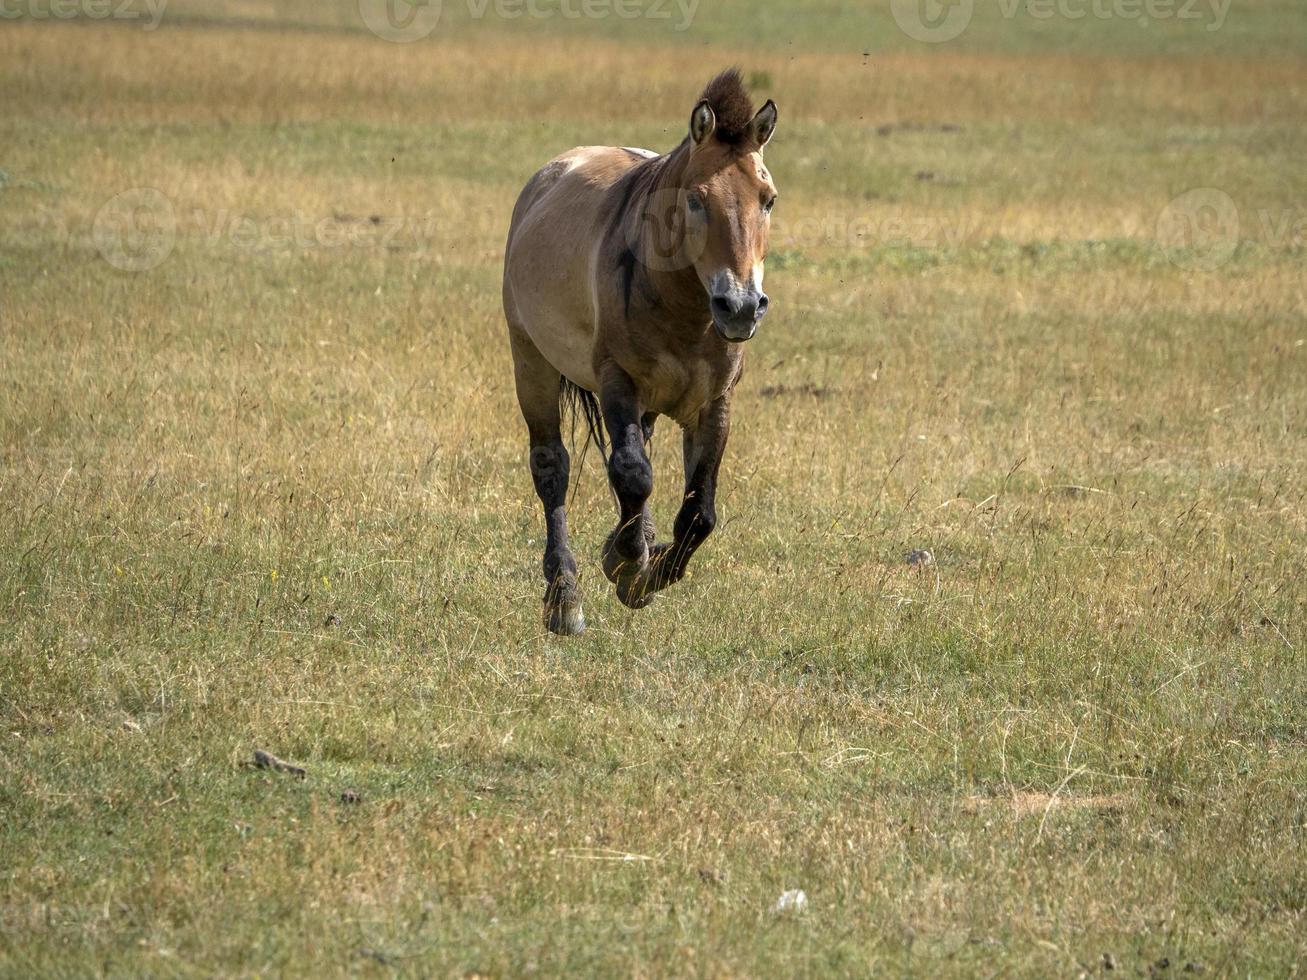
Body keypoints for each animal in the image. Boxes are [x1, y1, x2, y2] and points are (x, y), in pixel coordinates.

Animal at [501, 69, 773, 637]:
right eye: (695, 200)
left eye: (768, 199)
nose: (740, 306)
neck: (685, 315)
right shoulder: (616, 382)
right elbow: (632, 473)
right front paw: (625, 564)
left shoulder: (714, 404)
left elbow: (698, 513)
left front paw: (644, 570)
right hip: (532, 366)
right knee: (552, 469)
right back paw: (564, 598)